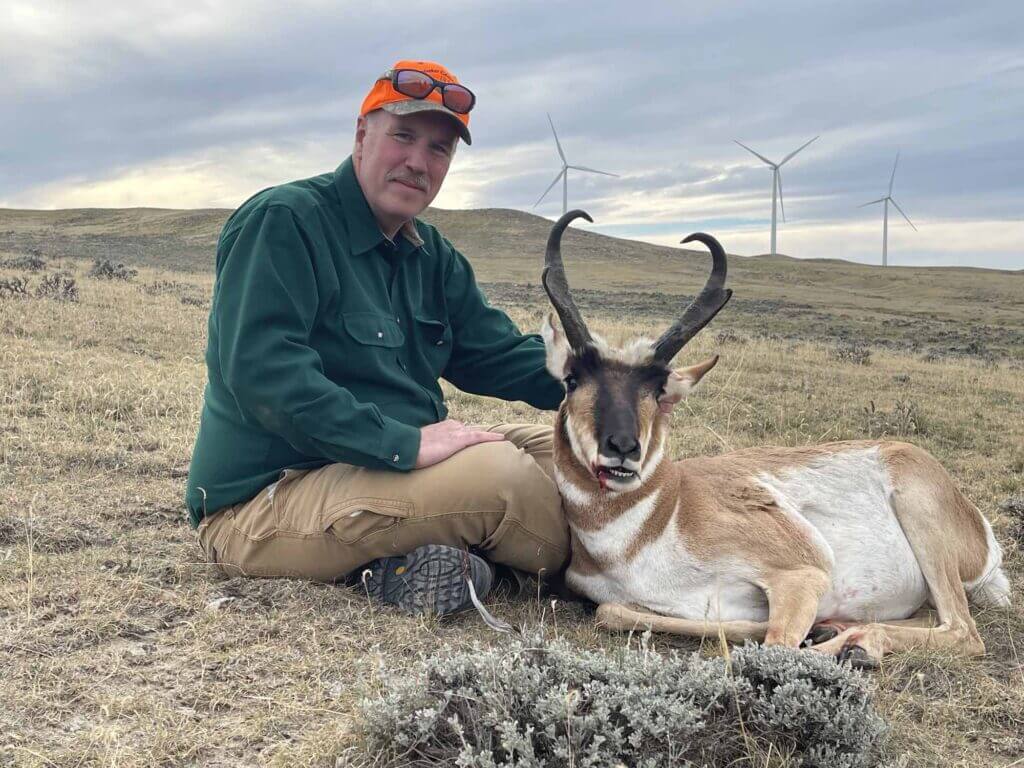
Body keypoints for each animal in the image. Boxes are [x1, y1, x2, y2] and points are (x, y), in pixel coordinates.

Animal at [540, 210, 1011, 666]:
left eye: (658, 391)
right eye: (572, 379)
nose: (623, 449)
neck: (663, 511)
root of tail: (979, 529)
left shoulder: (802, 574)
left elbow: (776, 644)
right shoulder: (623, 602)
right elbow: (612, 611)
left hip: (920, 517)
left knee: (963, 632)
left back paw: (854, 645)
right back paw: (844, 633)